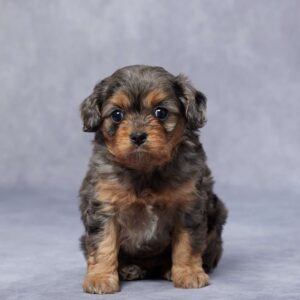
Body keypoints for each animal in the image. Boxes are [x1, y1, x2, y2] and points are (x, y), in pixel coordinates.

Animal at [78, 65, 226, 292]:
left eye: (161, 112)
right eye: (117, 115)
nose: (138, 136)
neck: (145, 169)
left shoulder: (189, 206)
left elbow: (187, 244)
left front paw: (189, 273)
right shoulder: (103, 207)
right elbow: (103, 243)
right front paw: (100, 278)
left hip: (217, 213)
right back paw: (129, 269)